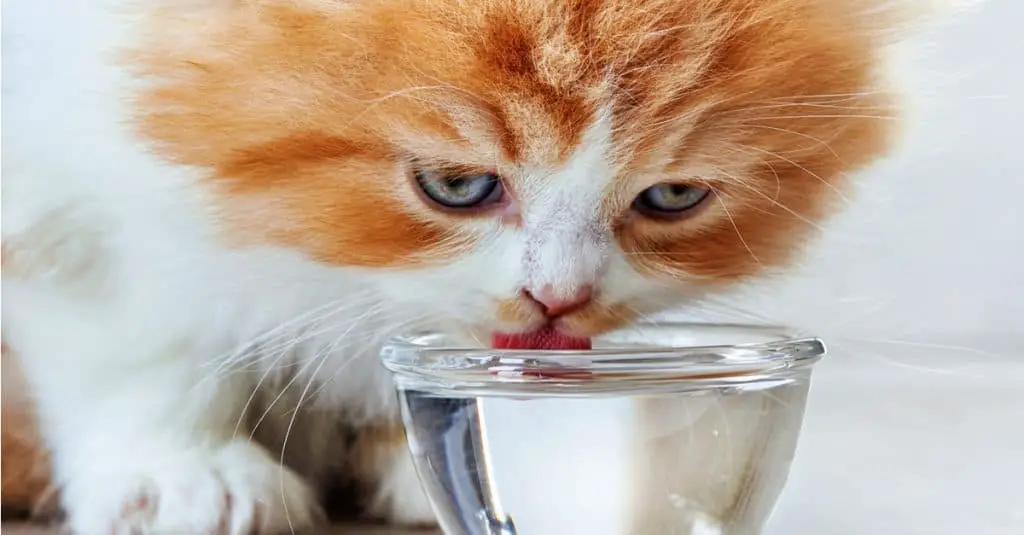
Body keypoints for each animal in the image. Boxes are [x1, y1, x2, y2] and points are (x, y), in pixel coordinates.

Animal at [2, 0, 921, 528]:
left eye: (672, 197)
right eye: (455, 185)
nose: (557, 297)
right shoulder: (51, 175)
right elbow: (132, 330)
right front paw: (182, 471)